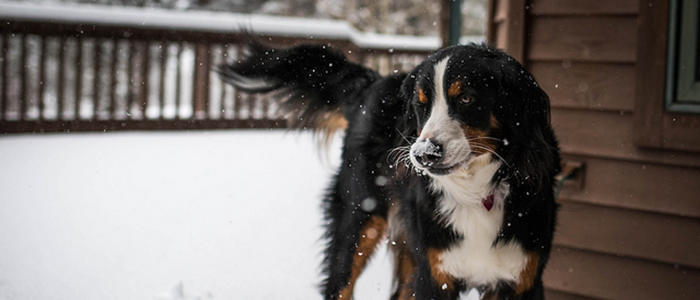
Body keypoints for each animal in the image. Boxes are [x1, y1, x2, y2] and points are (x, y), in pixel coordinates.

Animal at [221, 40, 560, 300]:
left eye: (466, 98)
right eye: (422, 104)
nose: (423, 155)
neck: (476, 191)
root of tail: (372, 82)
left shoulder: (522, 280)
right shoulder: (433, 276)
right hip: (357, 219)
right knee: (340, 283)